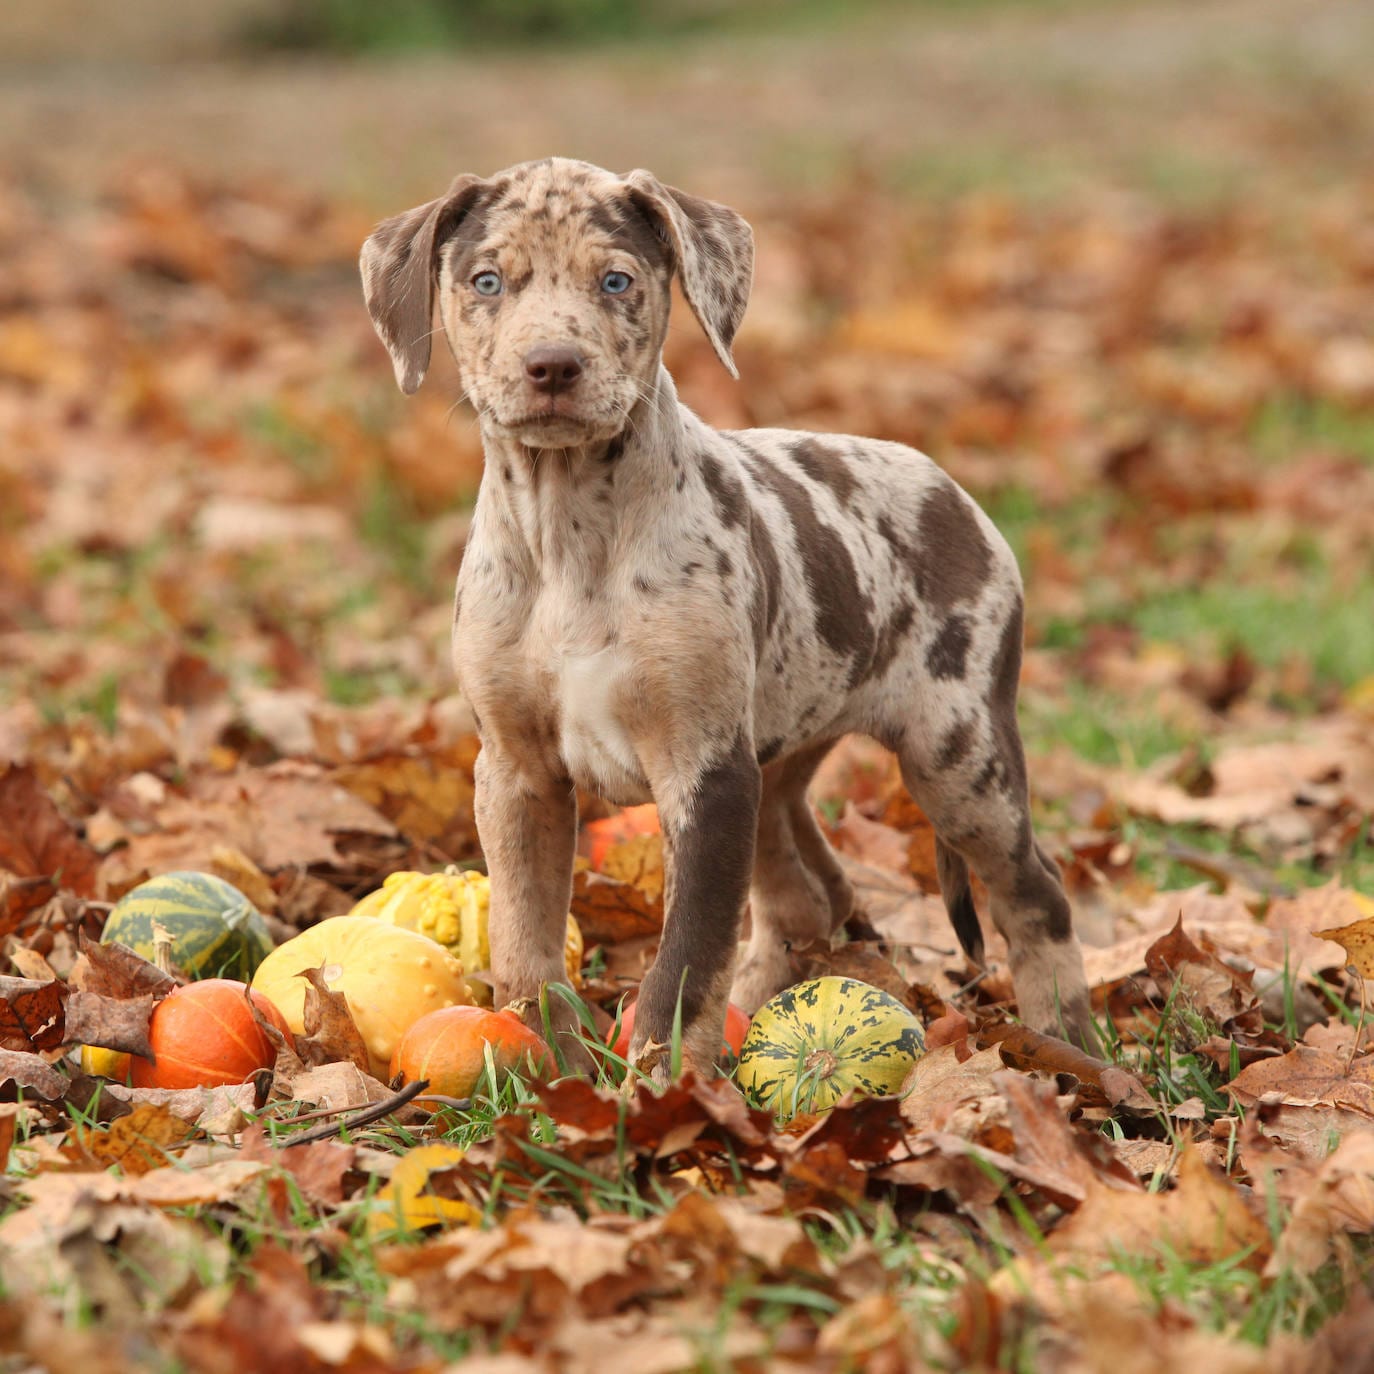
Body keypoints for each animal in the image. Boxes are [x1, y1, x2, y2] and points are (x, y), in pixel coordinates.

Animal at [362, 153, 1093, 1071]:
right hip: (781, 756)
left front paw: (663, 1086)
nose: (552, 366)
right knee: (806, 898)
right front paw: (550, 1071)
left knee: (1037, 893)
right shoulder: (516, 772)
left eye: (616, 281)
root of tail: (952, 489)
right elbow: (526, 945)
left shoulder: (707, 772)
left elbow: (685, 959)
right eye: (487, 281)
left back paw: (1070, 1046)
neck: (570, 535)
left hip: (957, 756)